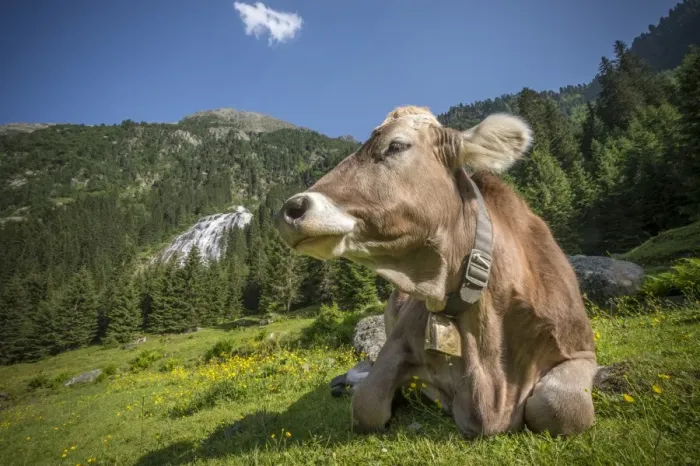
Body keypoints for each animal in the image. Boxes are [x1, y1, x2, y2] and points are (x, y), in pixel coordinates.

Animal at [273, 105, 597, 438]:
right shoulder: (398, 343)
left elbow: (559, 406)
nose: (290, 209)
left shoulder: (581, 349)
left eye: (396, 145)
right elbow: (367, 404)